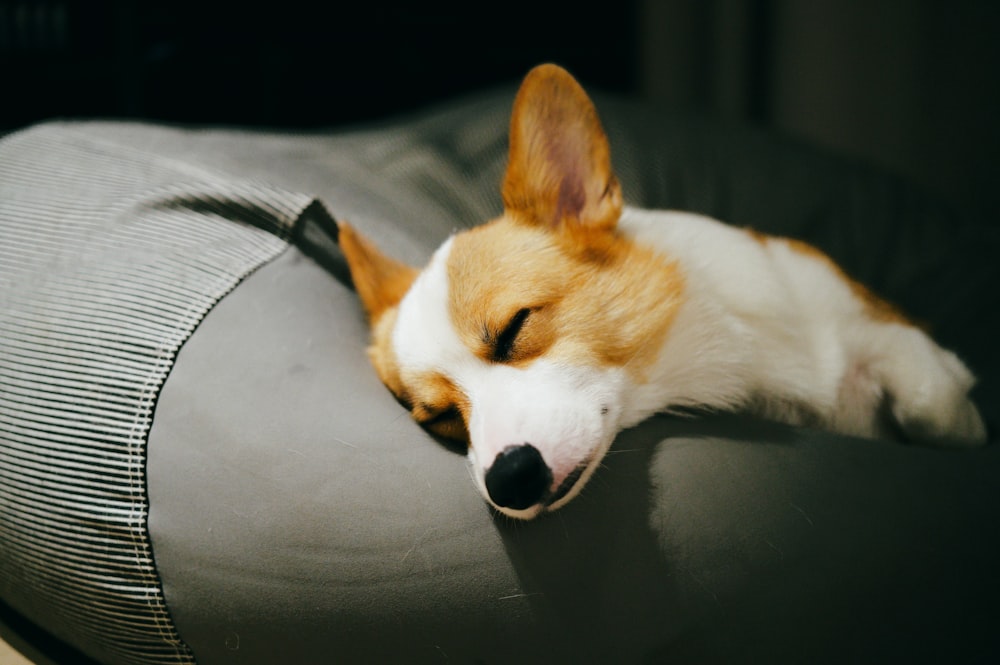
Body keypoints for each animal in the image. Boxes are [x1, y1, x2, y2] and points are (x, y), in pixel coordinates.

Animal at [336, 63, 984, 520]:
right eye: (440, 417)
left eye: (516, 326)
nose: (509, 479)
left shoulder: (878, 323)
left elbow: (930, 399)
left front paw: (970, 425)